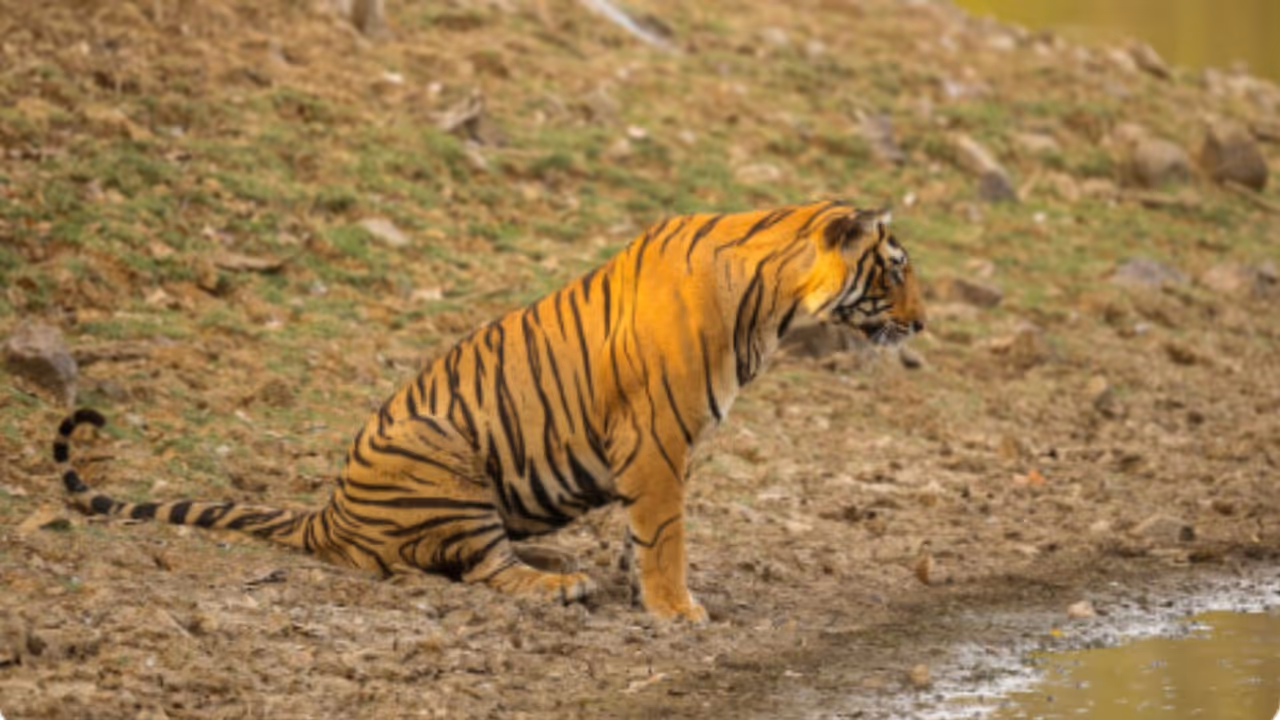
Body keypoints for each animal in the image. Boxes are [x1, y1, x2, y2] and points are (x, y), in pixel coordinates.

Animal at [54, 200, 925, 622]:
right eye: (895, 271)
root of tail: (326, 514)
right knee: (478, 567)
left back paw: (562, 562)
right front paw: (676, 609)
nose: (922, 325)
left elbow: (646, 533)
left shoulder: (661, 455)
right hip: (442, 455)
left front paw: (638, 584)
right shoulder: (655, 443)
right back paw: (558, 585)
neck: (772, 305)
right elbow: (666, 537)